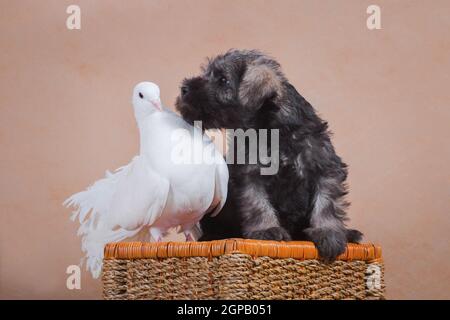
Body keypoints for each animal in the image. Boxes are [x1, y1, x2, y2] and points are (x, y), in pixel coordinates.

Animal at [175, 49, 362, 260]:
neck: (272, 129)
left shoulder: (324, 167)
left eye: (223, 80)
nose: (184, 88)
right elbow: (258, 204)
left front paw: (328, 232)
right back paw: (211, 237)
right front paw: (266, 230)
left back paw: (350, 233)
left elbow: (326, 205)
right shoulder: (250, 175)